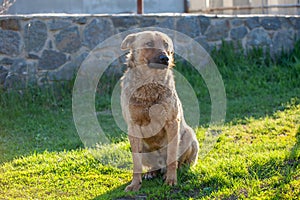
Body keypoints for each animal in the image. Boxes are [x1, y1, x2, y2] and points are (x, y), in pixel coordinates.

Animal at [119, 30, 199, 191]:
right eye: (149, 43)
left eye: (166, 45)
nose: (165, 58)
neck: (149, 84)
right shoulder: (133, 127)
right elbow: (136, 163)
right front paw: (135, 184)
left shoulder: (172, 122)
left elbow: (172, 158)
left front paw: (171, 180)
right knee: (152, 165)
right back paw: (152, 172)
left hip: (189, 136)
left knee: (179, 162)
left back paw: (172, 171)